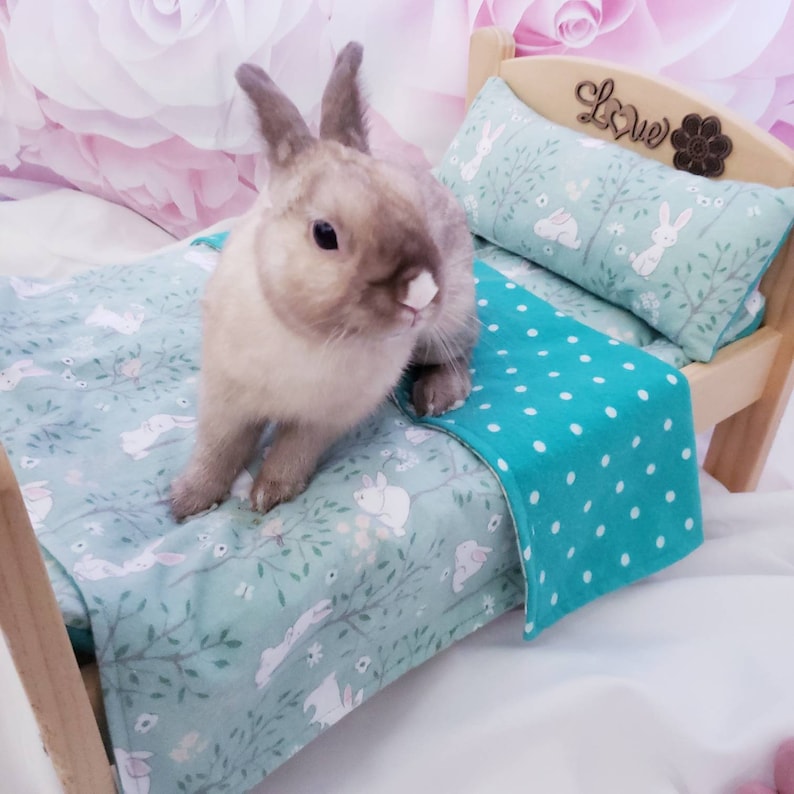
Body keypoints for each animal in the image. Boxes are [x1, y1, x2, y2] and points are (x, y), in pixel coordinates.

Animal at [170, 42, 477, 521]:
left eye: (417, 210)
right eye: (324, 234)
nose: (421, 293)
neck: (307, 335)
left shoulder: (323, 420)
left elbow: (292, 451)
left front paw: (269, 494)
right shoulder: (224, 400)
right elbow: (218, 449)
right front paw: (188, 501)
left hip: (447, 324)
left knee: (460, 354)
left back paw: (437, 396)